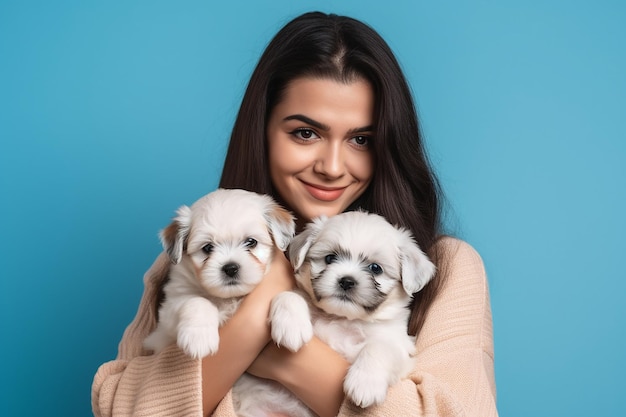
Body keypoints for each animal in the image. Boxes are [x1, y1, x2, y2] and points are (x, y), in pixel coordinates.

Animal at [143, 188, 298, 358]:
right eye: (208, 248)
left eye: (251, 242)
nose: (230, 268)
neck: (229, 298)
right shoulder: (166, 317)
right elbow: (197, 301)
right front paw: (199, 337)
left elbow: (290, 295)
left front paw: (292, 326)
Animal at [233, 211, 434, 416]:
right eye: (330, 258)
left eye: (375, 268)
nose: (346, 281)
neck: (341, 318)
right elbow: (289, 296)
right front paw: (291, 327)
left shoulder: (400, 347)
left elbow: (378, 348)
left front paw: (364, 384)